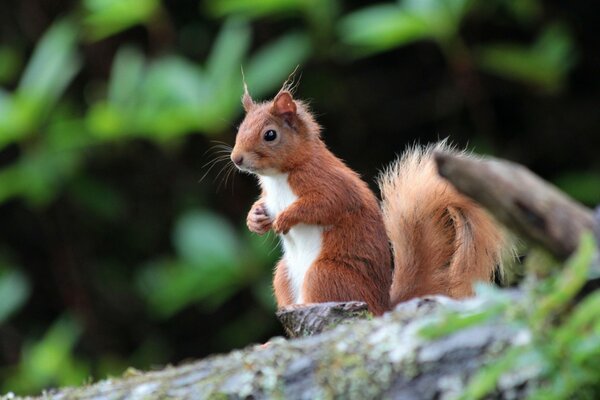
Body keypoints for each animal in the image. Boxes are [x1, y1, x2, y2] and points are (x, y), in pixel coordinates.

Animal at [230, 82, 510, 316]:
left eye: (270, 135)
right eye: (240, 129)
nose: (236, 158)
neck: (278, 177)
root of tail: (382, 306)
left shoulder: (329, 184)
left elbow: (324, 205)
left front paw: (285, 219)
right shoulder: (270, 197)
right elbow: (263, 207)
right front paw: (255, 219)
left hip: (325, 273)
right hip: (283, 274)